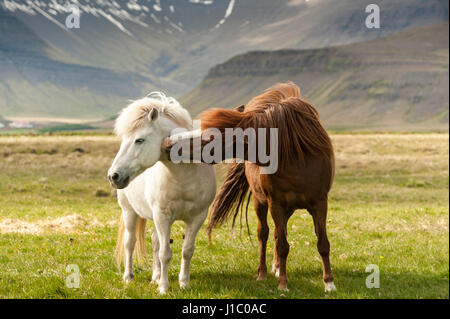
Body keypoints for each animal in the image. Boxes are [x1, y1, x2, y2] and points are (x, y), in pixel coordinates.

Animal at [107, 92, 216, 296]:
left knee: (155, 242)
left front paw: (183, 283)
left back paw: (155, 277)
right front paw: (164, 288)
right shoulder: (162, 215)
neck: (184, 176)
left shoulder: (197, 217)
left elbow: (187, 250)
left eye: (139, 140)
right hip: (129, 212)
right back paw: (128, 277)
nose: (113, 176)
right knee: (130, 243)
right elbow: (165, 253)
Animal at [199, 82, 336, 292]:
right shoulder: (275, 204)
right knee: (264, 235)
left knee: (279, 235)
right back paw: (263, 273)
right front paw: (283, 285)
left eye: (215, 136)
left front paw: (329, 283)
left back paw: (277, 268)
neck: (294, 158)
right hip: (261, 203)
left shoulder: (320, 203)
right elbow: (282, 246)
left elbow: (323, 243)